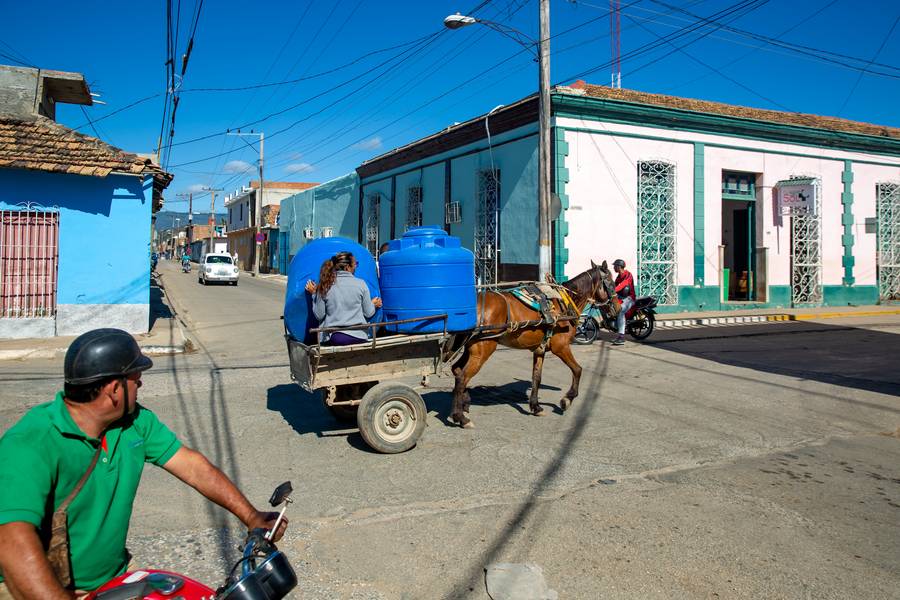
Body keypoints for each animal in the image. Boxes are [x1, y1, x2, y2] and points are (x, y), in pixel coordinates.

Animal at [450, 260, 620, 428]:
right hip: (484, 349)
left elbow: (536, 377)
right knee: (462, 378)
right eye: (611, 283)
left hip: (471, 348)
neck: (565, 302)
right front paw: (567, 400)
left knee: (457, 369)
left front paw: (536, 407)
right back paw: (460, 417)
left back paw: (465, 404)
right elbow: (578, 370)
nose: (618, 308)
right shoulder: (561, 347)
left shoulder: (540, 349)